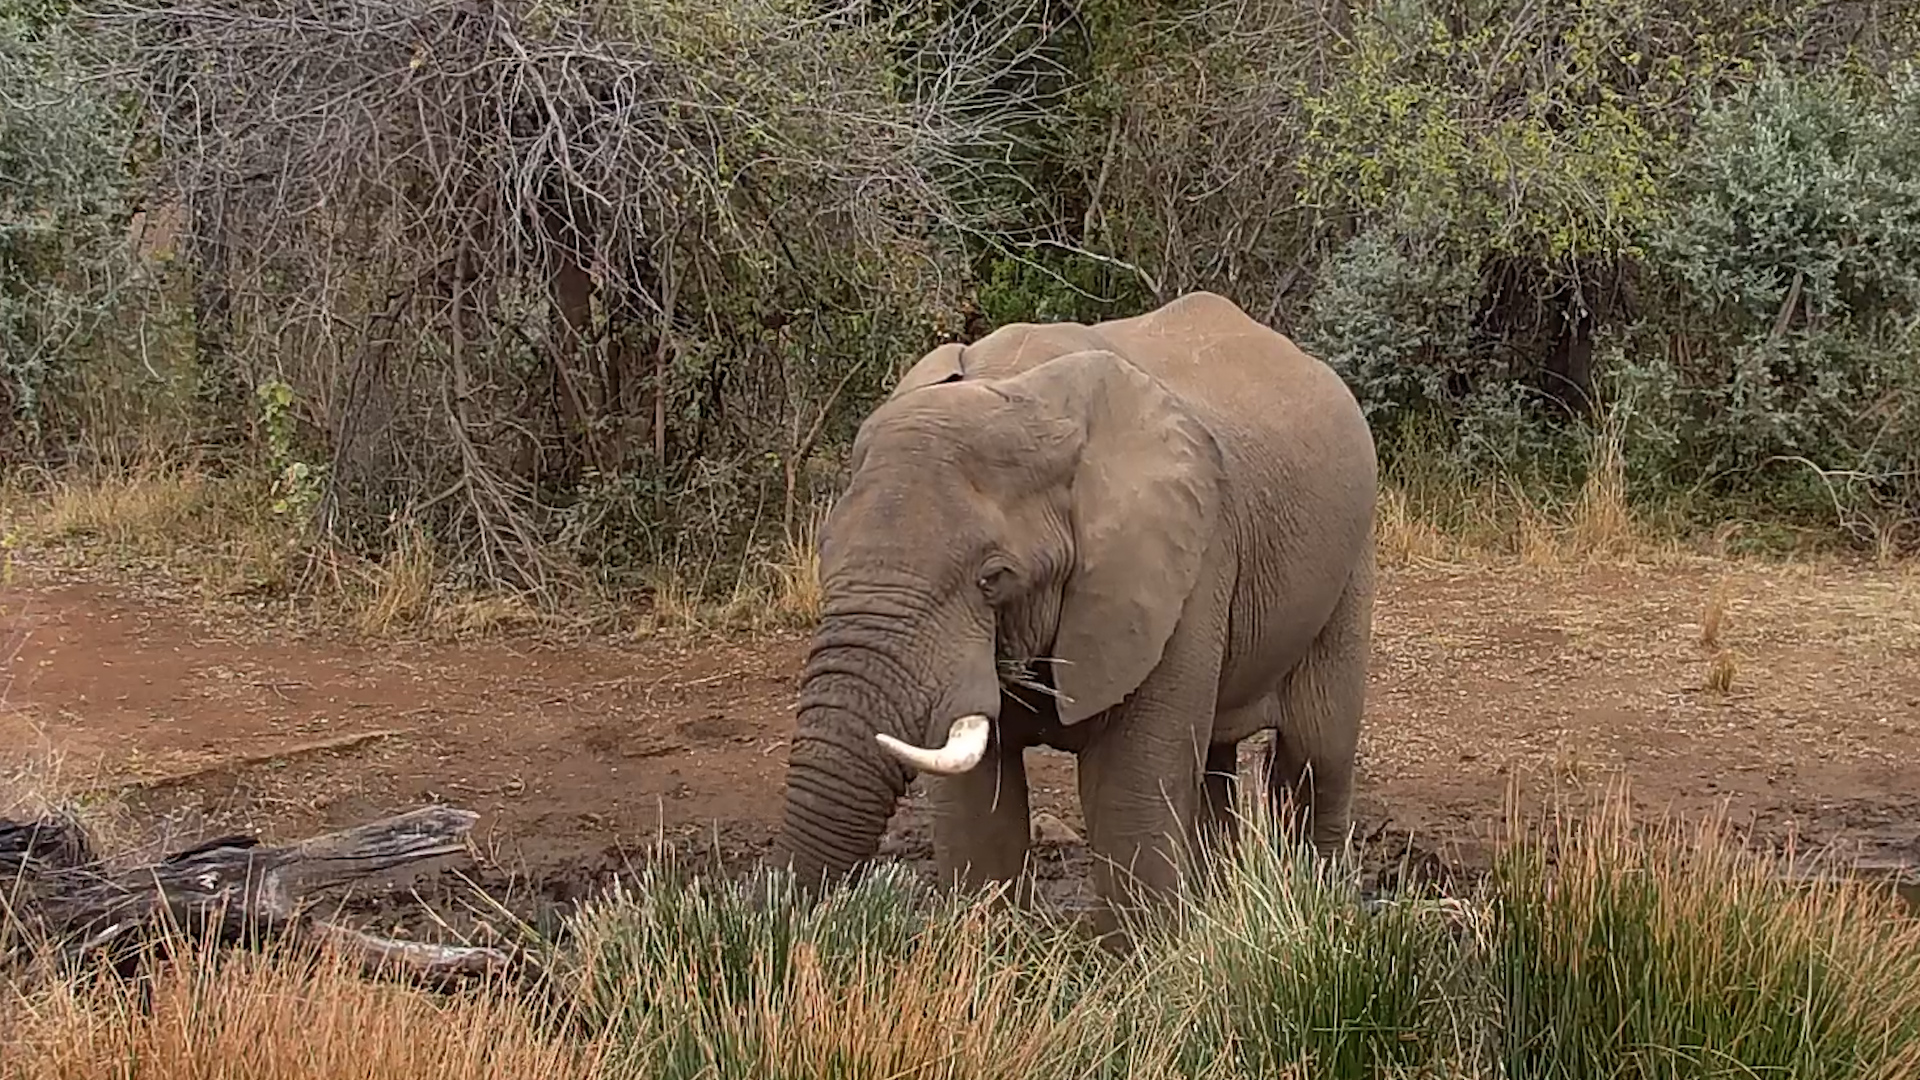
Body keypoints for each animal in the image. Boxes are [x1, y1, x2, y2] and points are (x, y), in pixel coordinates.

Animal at [771, 290, 1378, 929]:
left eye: (994, 578)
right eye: (824, 553)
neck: (1016, 391)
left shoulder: (1182, 566)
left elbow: (1128, 787)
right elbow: (976, 807)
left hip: (1349, 561)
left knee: (1316, 753)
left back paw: (1320, 908)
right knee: (1214, 760)